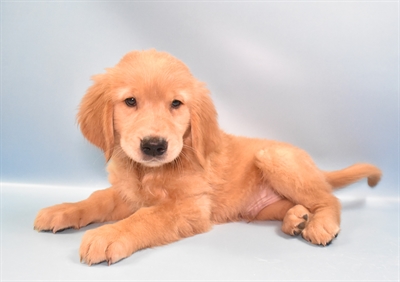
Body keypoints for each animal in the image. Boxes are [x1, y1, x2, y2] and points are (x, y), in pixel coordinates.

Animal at [34, 50, 382, 264]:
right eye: (130, 101)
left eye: (176, 104)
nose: (154, 146)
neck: (147, 172)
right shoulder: (128, 194)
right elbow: (97, 198)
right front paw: (62, 210)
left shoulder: (189, 208)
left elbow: (146, 217)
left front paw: (109, 234)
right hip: (259, 208)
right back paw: (296, 219)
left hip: (275, 157)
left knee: (328, 198)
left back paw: (319, 223)